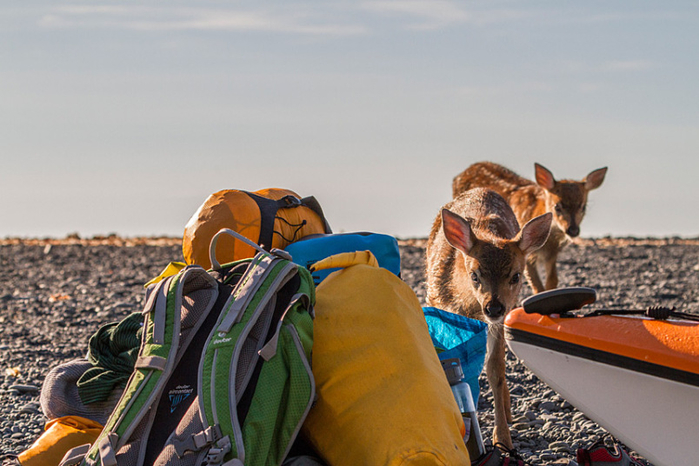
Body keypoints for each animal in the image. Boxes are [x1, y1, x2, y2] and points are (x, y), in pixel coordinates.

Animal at [426, 187, 552, 450]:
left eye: (516, 276)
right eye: (474, 275)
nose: (493, 307)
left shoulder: (496, 325)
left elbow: (495, 372)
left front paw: (502, 440)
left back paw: (508, 411)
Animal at [454, 162, 608, 294]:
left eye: (583, 207)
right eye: (557, 207)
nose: (573, 230)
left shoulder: (552, 254)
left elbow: (552, 281)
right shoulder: (525, 254)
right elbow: (537, 286)